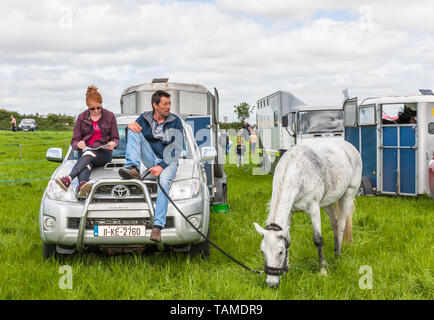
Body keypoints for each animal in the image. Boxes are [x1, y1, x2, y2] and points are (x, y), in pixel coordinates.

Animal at [254, 140, 362, 288]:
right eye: (262, 251)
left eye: (280, 252)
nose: (272, 284)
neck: (296, 171)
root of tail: (350, 146)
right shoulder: (290, 212)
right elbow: (288, 240)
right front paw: (287, 270)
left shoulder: (314, 208)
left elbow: (318, 239)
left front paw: (322, 269)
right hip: (328, 202)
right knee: (334, 224)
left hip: (349, 194)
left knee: (341, 226)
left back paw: (338, 256)